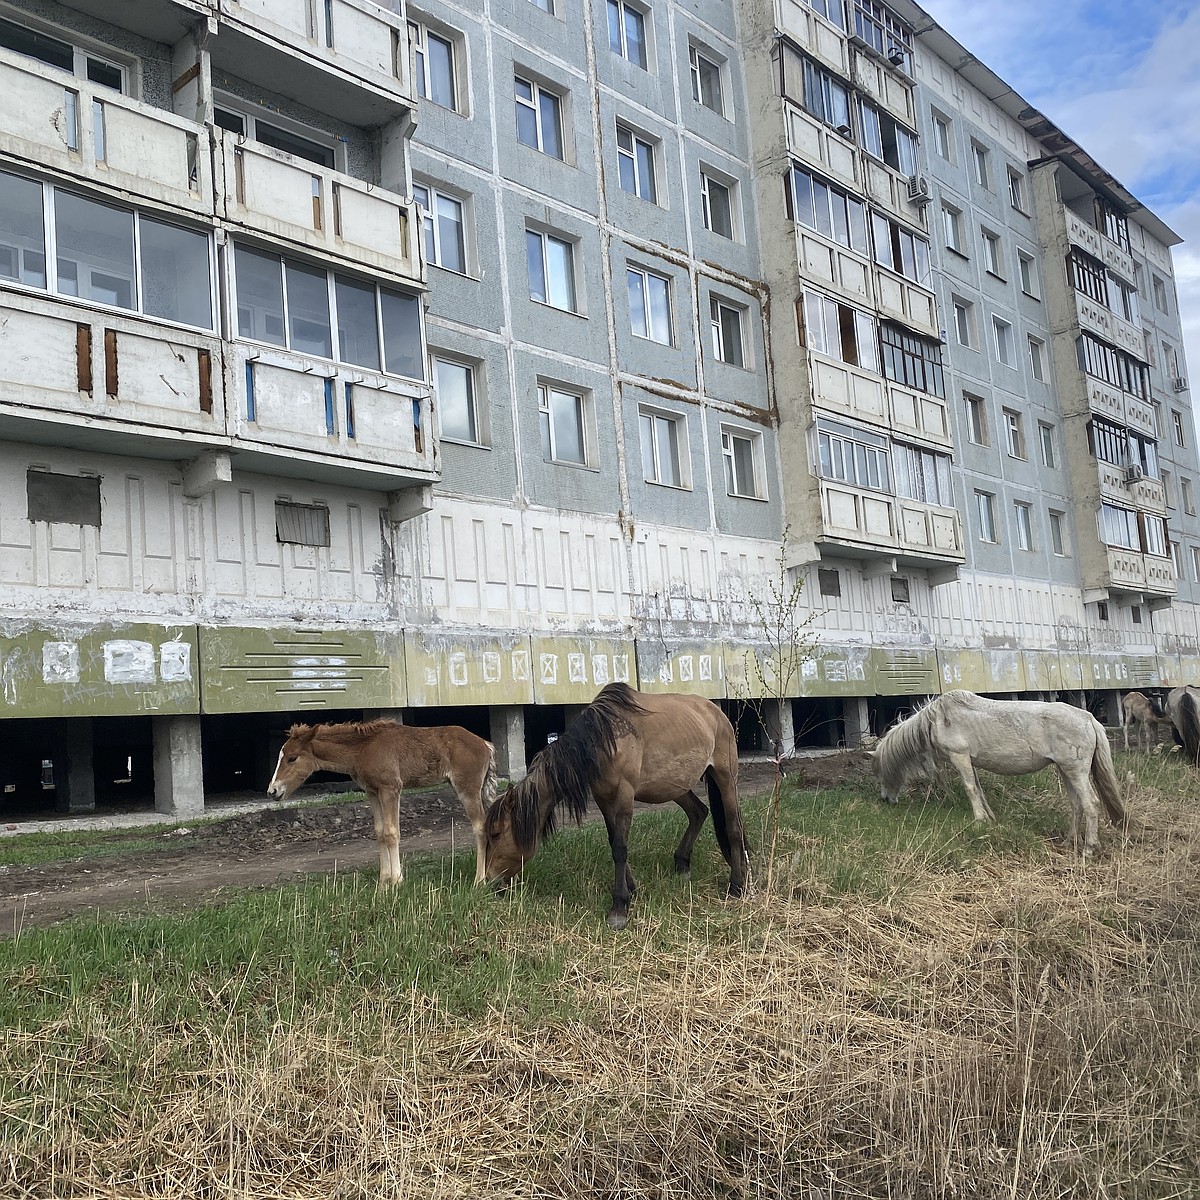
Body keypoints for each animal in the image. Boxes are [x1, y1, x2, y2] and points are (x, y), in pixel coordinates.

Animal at [268, 715, 496, 888]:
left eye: (292, 758)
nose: (273, 790)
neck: (363, 749)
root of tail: (485, 744)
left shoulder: (390, 789)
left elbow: (391, 832)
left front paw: (396, 881)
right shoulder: (372, 792)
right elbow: (379, 833)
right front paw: (383, 883)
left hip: (467, 788)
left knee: (479, 827)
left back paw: (479, 879)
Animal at [480, 686, 744, 926]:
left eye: (496, 833)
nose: (490, 881)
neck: (601, 740)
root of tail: (716, 712)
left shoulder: (624, 795)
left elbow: (620, 847)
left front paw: (619, 907)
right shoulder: (604, 799)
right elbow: (613, 840)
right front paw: (631, 888)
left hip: (725, 777)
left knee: (733, 827)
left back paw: (737, 885)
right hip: (674, 785)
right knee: (699, 812)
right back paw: (682, 865)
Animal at [868, 691, 1128, 859]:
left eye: (880, 774)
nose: (884, 799)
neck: (937, 720)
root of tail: (1089, 718)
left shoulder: (959, 757)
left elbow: (970, 789)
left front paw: (979, 820)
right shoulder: (969, 761)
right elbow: (978, 789)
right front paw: (990, 817)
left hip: (1076, 771)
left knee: (1090, 804)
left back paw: (1089, 849)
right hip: (1066, 770)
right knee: (1076, 805)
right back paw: (1069, 842)